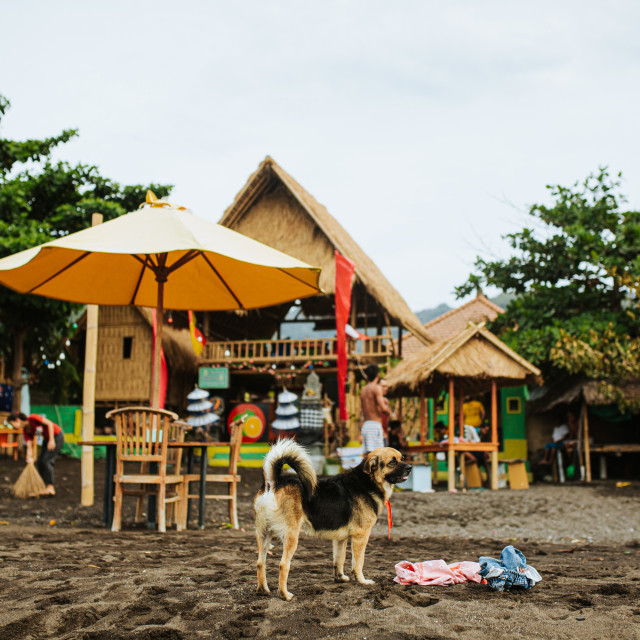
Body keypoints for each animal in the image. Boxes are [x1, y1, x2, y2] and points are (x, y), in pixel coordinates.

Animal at [252, 440, 412, 600]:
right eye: (392, 462)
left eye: (402, 457)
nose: (410, 468)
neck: (367, 482)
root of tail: (274, 482)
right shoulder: (361, 537)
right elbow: (358, 563)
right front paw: (362, 581)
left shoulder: (340, 539)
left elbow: (339, 559)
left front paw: (340, 578)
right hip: (291, 536)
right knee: (283, 565)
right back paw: (285, 595)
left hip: (264, 534)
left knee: (260, 563)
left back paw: (263, 590)